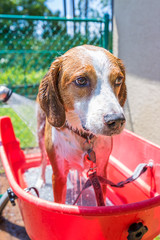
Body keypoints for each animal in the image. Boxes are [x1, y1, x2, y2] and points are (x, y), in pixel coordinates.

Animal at [37, 44, 127, 203]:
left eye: (118, 79)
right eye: (81, 80)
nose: (117, 120)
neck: (83, 136)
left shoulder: (101, 172)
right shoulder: (59, 176)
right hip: (41, 136)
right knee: (42, 159)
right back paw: (41, 180)